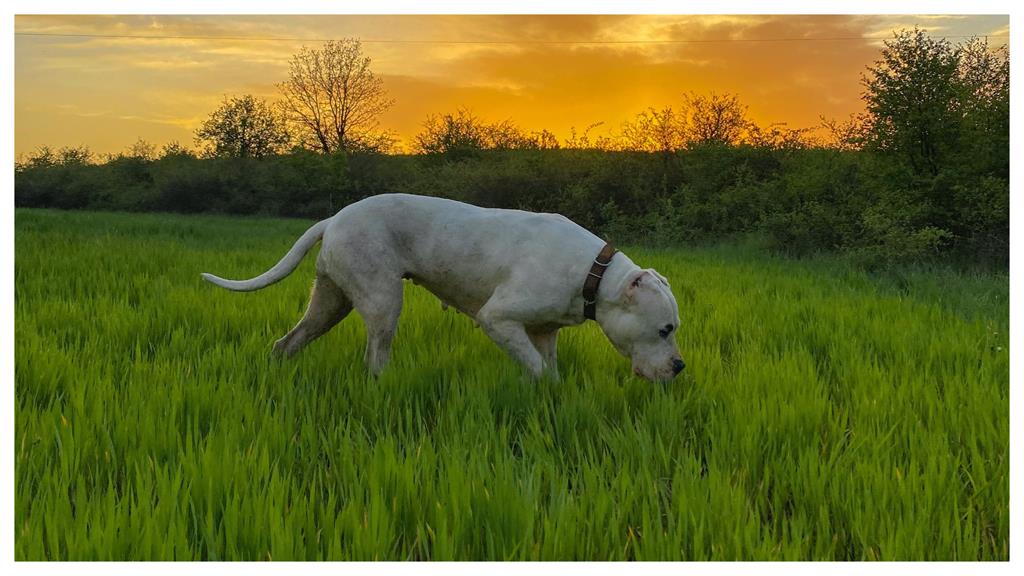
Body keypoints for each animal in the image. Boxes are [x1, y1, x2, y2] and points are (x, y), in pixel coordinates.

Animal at [199, 193, 684, 381]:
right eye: (665, 330)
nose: (680, 367)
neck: (593, 275)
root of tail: (333, 218)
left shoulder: (544, 333)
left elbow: (548, 369)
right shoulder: (498, 320)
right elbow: (536, 368)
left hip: (330, 302)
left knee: (288, 341)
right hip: (382, 301)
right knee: (375, 357)